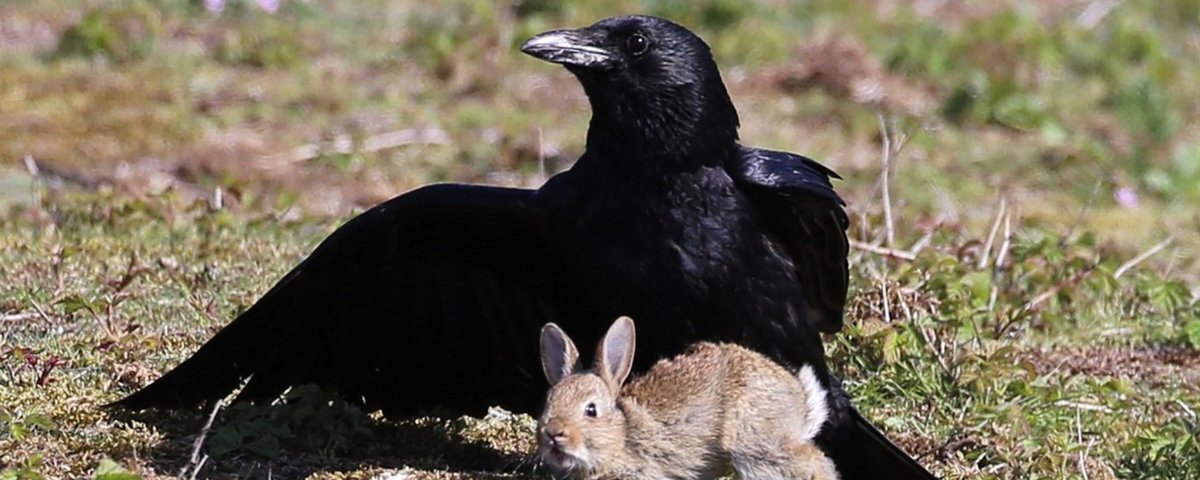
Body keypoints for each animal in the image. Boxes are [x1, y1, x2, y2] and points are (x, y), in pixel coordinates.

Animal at [540, 314, 840, 480]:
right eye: (548, 403)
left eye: (591, 410)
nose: (553, 433)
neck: (622, 436)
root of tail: (800, 400)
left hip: (755, 445)